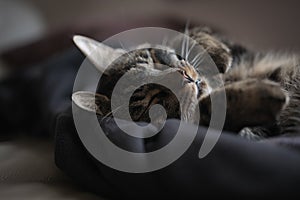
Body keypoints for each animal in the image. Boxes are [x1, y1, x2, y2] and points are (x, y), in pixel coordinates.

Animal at [72, 26, 300, 139]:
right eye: (152, 101)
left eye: (154, 61)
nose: (185, 77)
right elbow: (209, 109)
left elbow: (192, 33)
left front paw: (220, 58)